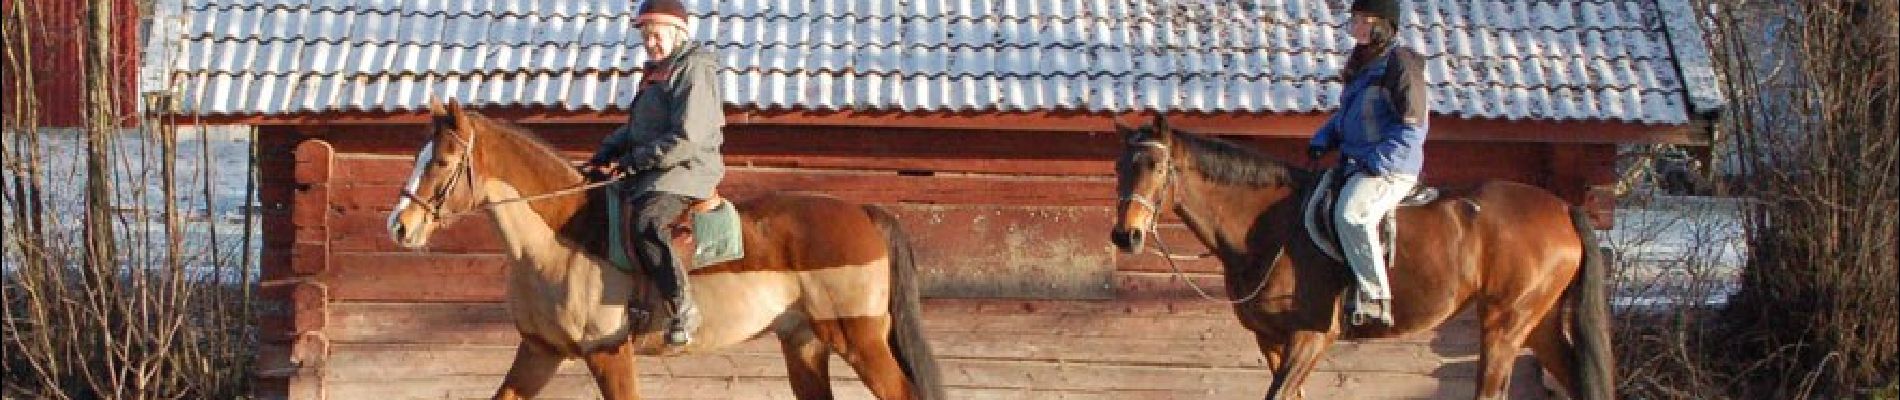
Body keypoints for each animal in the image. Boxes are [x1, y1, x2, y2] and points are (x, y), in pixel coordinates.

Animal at [387, 97, 950, 400]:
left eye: (441, 161)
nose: (400, 226)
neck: (561, 242)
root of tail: (865, 213)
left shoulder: (609, 353)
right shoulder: (539, 351)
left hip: (860, 340)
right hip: (805, 342)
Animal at [1109, 115, 1611, 400]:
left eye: (1155, 165)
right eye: (1119, 166)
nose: (1126, 235)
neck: (1272, 227)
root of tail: (1562, 208)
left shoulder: (1311, 336)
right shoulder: (1270, 341)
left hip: (1504, 325)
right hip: (1537, 324)